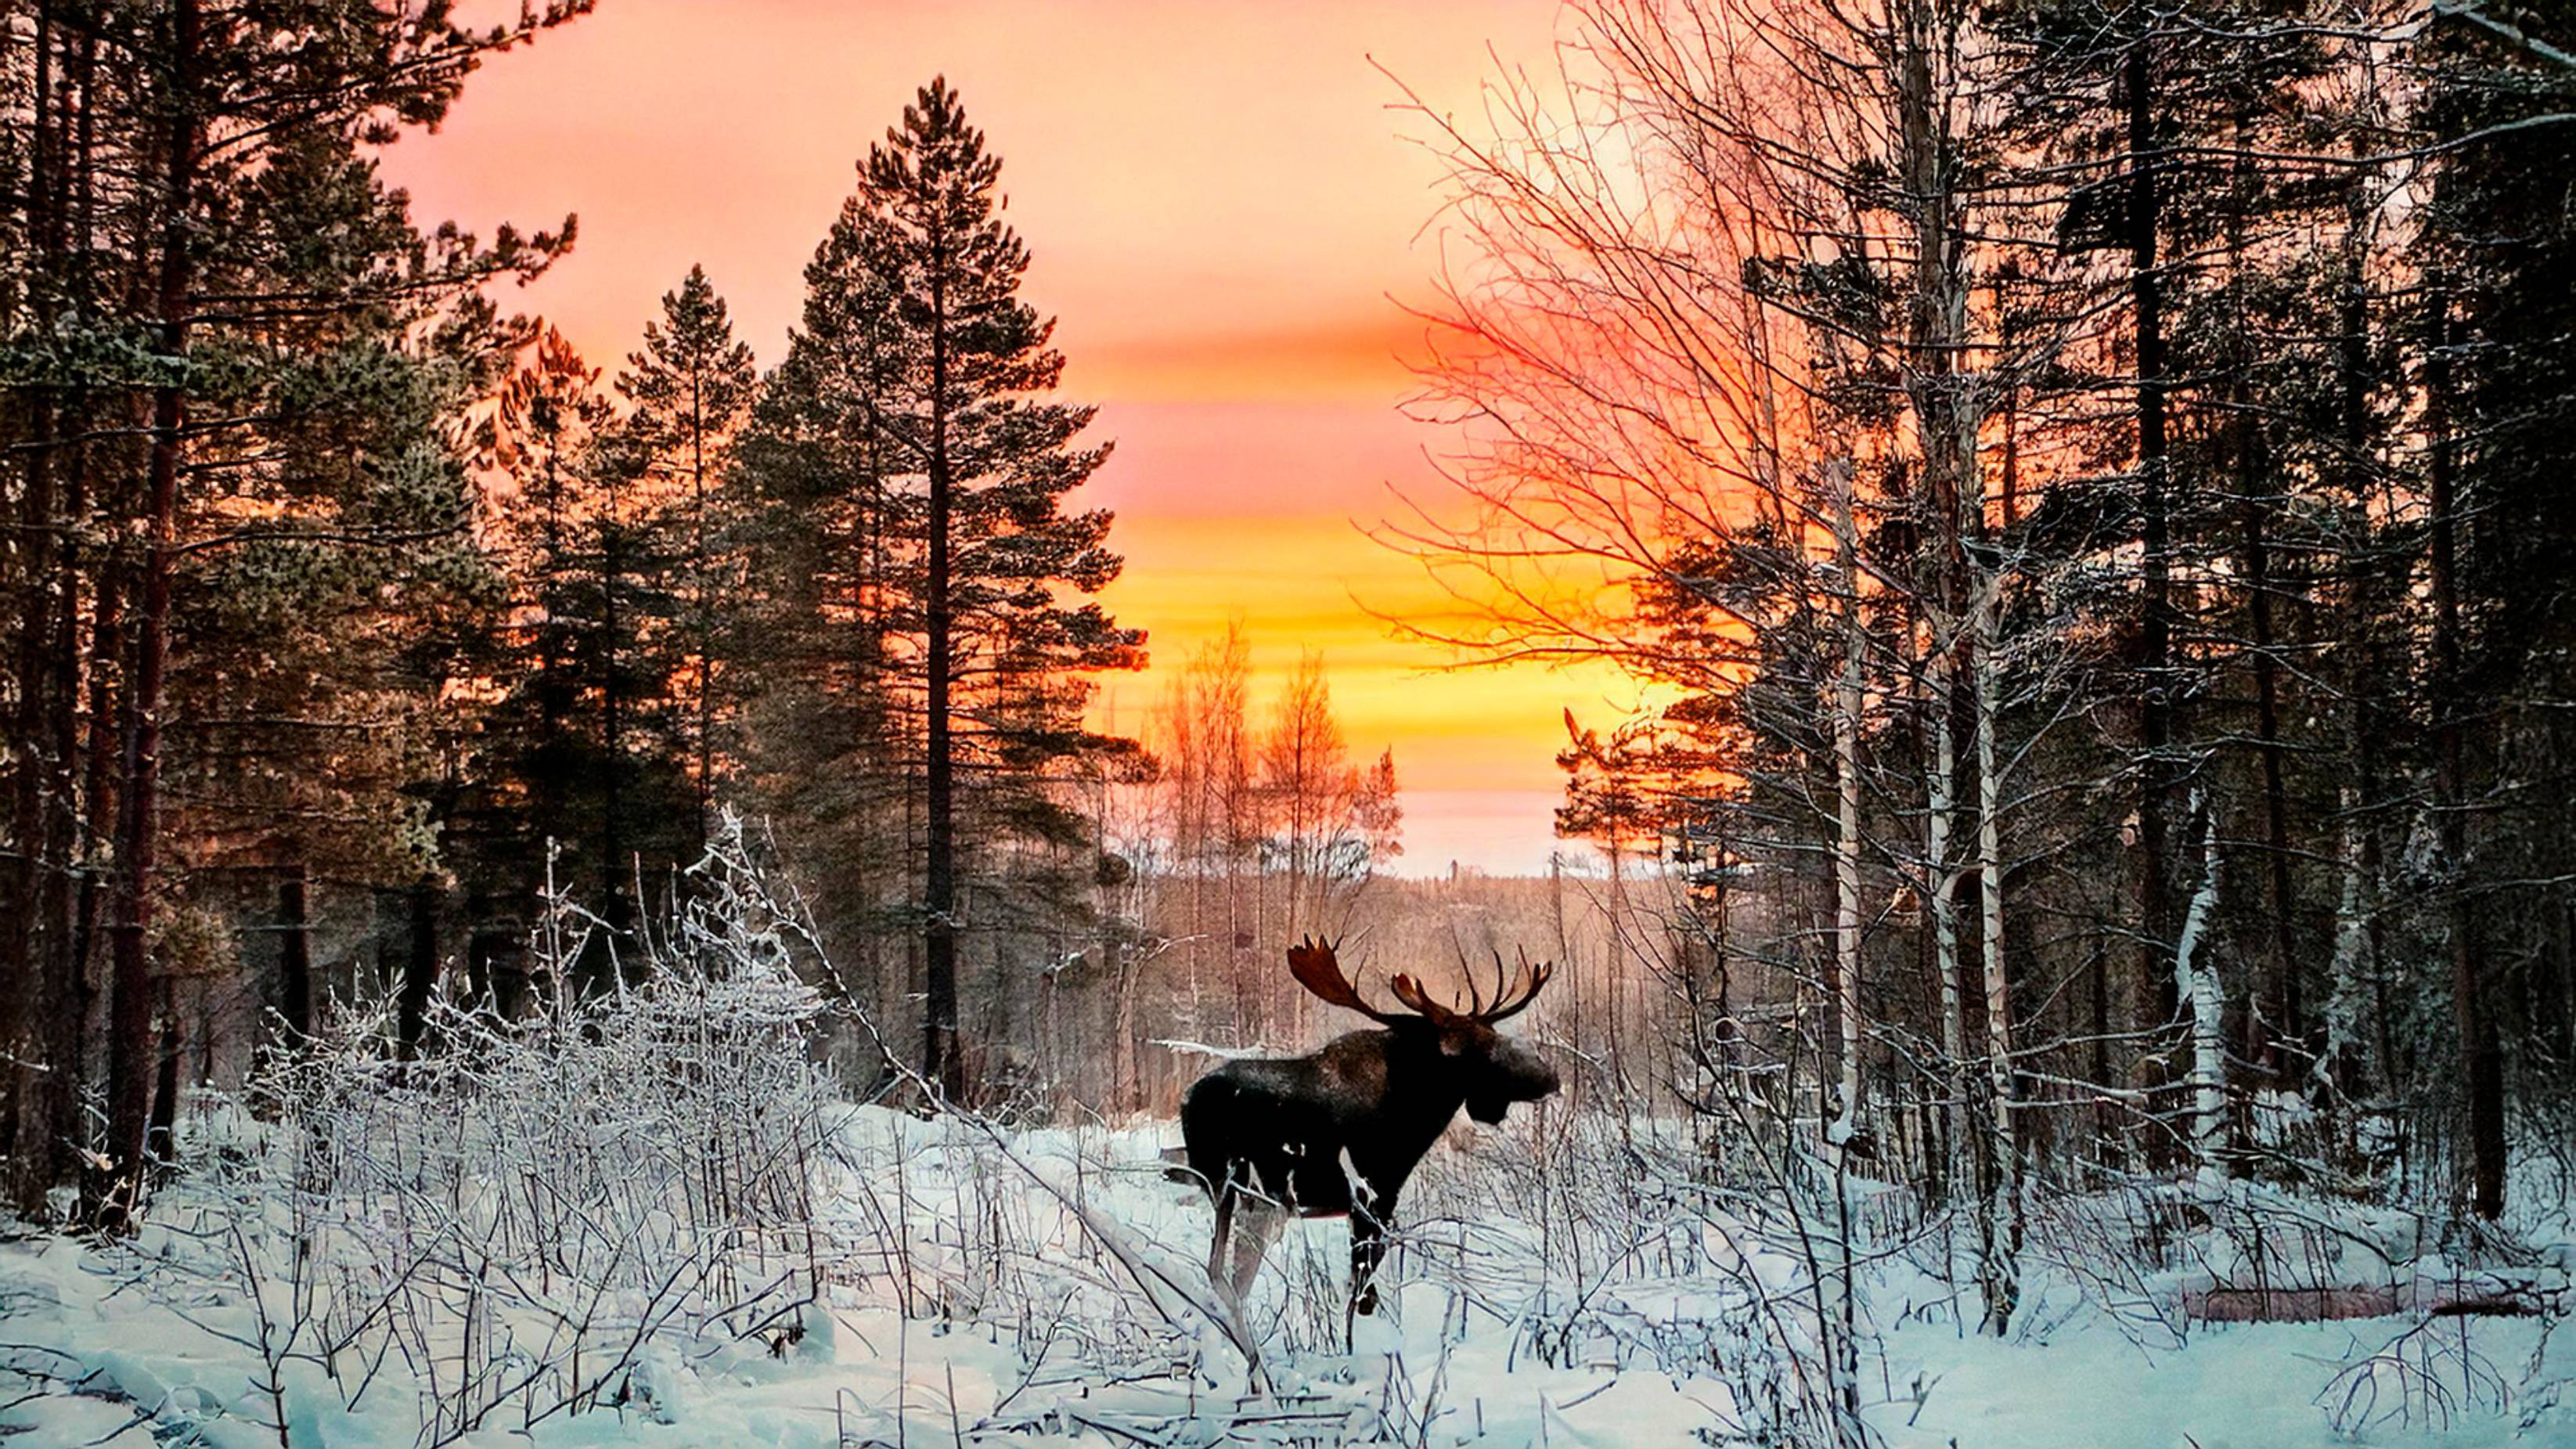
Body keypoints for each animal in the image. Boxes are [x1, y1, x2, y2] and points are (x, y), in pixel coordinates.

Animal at [1180, 928, 1555, 1314]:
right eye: (1476, 1052)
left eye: (1495, 1037)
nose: (1548, 1078)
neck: (1416, 1117)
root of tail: (1189, 1099)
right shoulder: (1375, 1193)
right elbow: (1362, 1284)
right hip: (1240, 1186)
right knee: (1223, 1270)